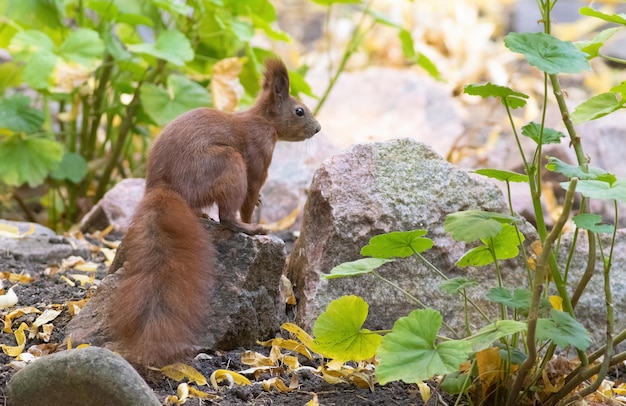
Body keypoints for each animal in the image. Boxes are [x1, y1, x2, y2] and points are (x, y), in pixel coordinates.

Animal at [108, 58, 320, 366]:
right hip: (228, 164)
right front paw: (253, 219)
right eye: (299, 110)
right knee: (227, 218)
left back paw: (201, 216)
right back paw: (250, 229)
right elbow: (249, 197)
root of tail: (162, 186)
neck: (263, 122)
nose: (317, 129)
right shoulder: (257, 159)